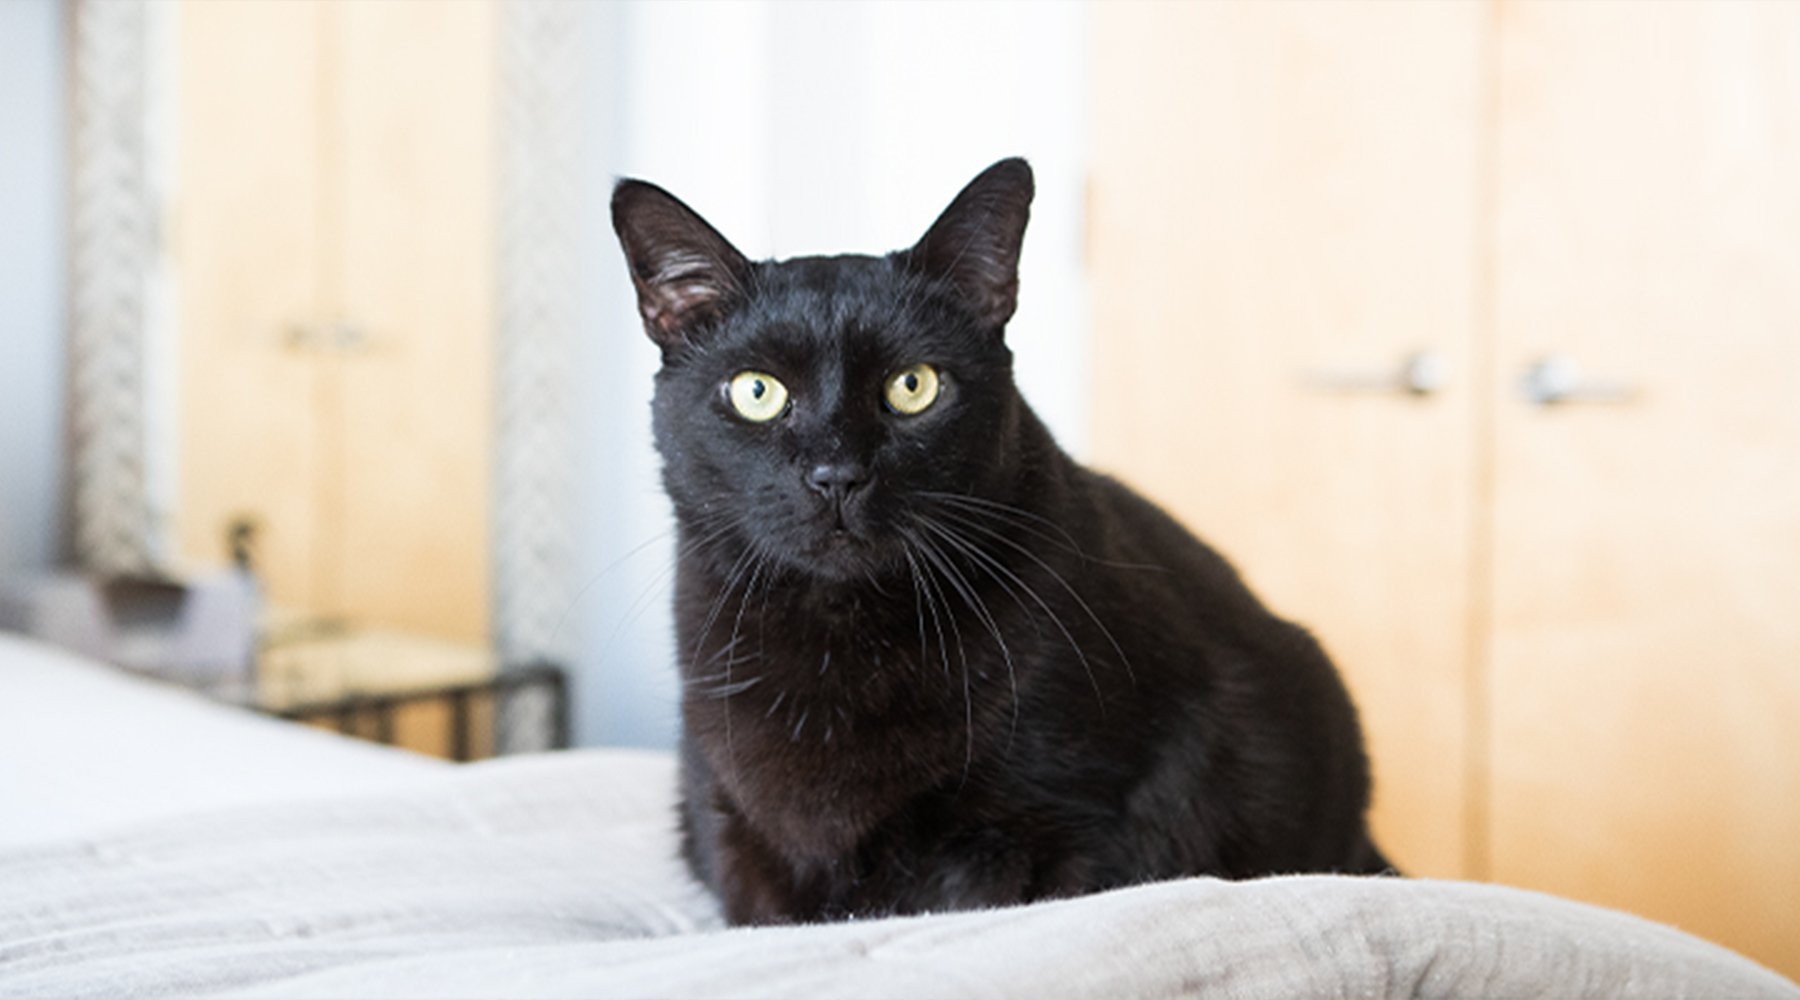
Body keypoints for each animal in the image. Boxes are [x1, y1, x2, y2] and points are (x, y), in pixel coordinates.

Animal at [608, 158, 1389, 928]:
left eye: (914, 387)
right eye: (758, 392)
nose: (837, 474)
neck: (841, 633)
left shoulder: (1069, 824)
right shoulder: (731, 827)